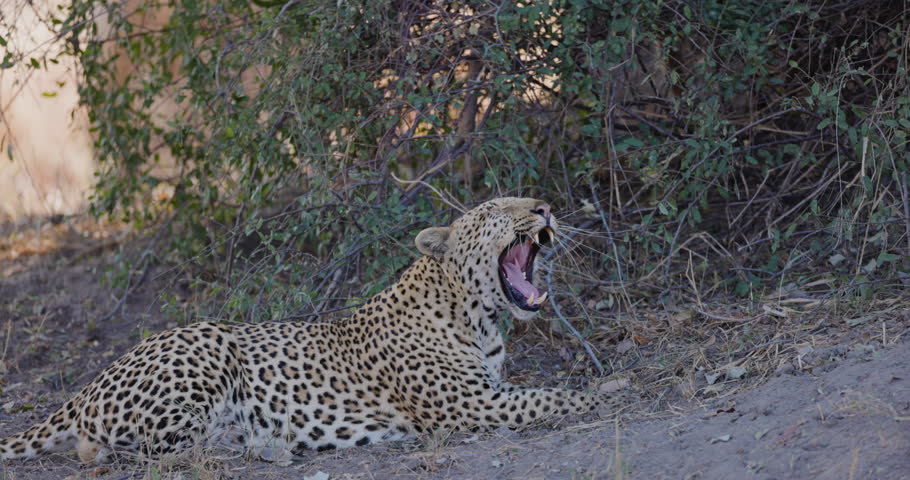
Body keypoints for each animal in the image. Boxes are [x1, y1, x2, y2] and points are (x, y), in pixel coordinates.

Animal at [0, 197, 608, 464]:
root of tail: (90, 385)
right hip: (204, 349)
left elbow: (536, 391)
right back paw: (265, 442)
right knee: (145, 448)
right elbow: (545, 397)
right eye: (498, 211)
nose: (544, 207)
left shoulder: (489, 389)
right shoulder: (472, 405)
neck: (478, 317)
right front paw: (598, 396)